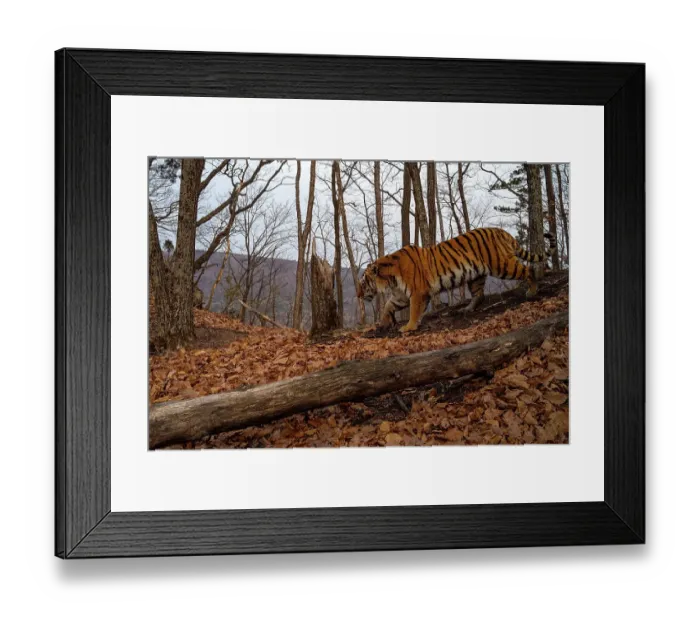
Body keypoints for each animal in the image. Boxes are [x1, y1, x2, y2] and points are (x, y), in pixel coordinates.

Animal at [357, 227, 556, 333]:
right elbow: (388, 306)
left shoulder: (416, 293)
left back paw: (532, 291)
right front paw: (384, 323)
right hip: (475, 277)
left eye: (363, 283)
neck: (389, 280)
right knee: (479, 295)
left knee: (529, 270)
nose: (358, 296)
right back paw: (466, 309)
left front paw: (409, 327)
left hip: (502, 265)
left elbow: (413, 311)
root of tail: (503, 231)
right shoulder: (402, 295)